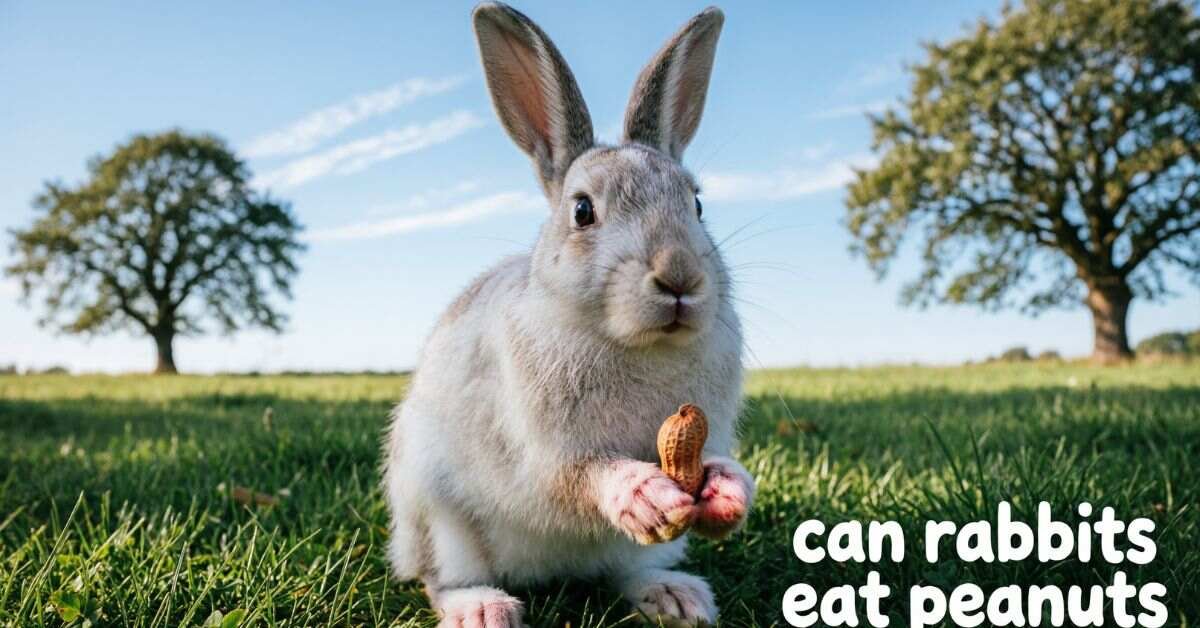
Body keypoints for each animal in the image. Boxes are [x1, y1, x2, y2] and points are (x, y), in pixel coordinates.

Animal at [382, 3, 754, 626]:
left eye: (698, 204)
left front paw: (729, 491)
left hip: (633, 552)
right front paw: (644, 493)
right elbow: (578, 476)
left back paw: (675, 596)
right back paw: (483, 609)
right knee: (441, 578)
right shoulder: (545, 453)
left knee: (623, 572)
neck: (637, 344)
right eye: (582, 211)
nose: (680, 276)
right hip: (438, 516)